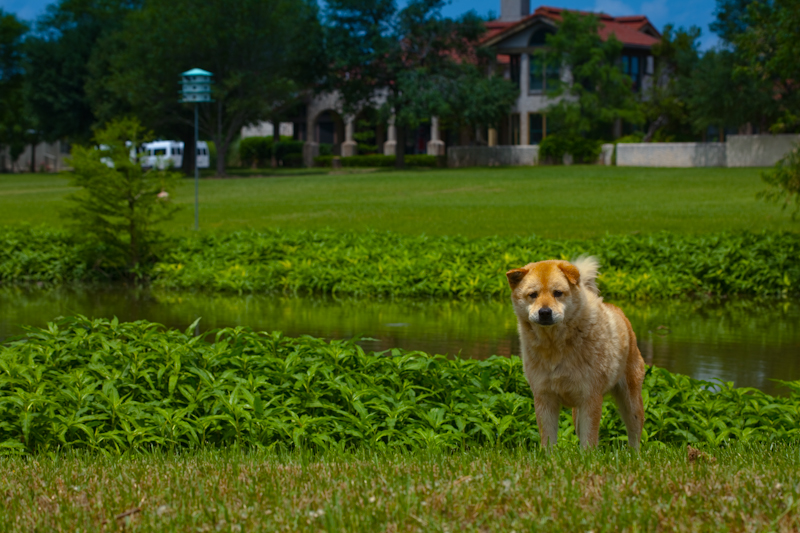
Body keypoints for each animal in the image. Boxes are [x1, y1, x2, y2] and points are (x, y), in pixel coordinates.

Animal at [510, 256, 648, 446]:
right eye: (533, 295)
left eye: (558, 293)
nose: (544, 312)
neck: (555, 346)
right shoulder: (544, 398)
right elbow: (548, 441)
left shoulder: (590, 397)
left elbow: (589, 443)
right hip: (577, 416)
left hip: (631, 403)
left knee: (634, 437)